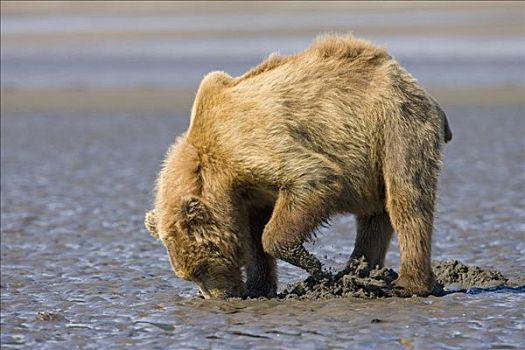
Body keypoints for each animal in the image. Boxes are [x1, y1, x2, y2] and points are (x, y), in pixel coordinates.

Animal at [143, 33, 450, 298]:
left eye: (202, 269)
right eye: (189, 275)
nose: (223, 295)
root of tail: (416, 85)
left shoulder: (252, 145)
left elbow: (314, 179)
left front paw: (314, 266)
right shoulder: (248, 190)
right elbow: (254, 234)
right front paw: (259, 285)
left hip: (396, 125)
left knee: (407, 201)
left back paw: (404, 283)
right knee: (374, 216)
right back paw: (358, 272)